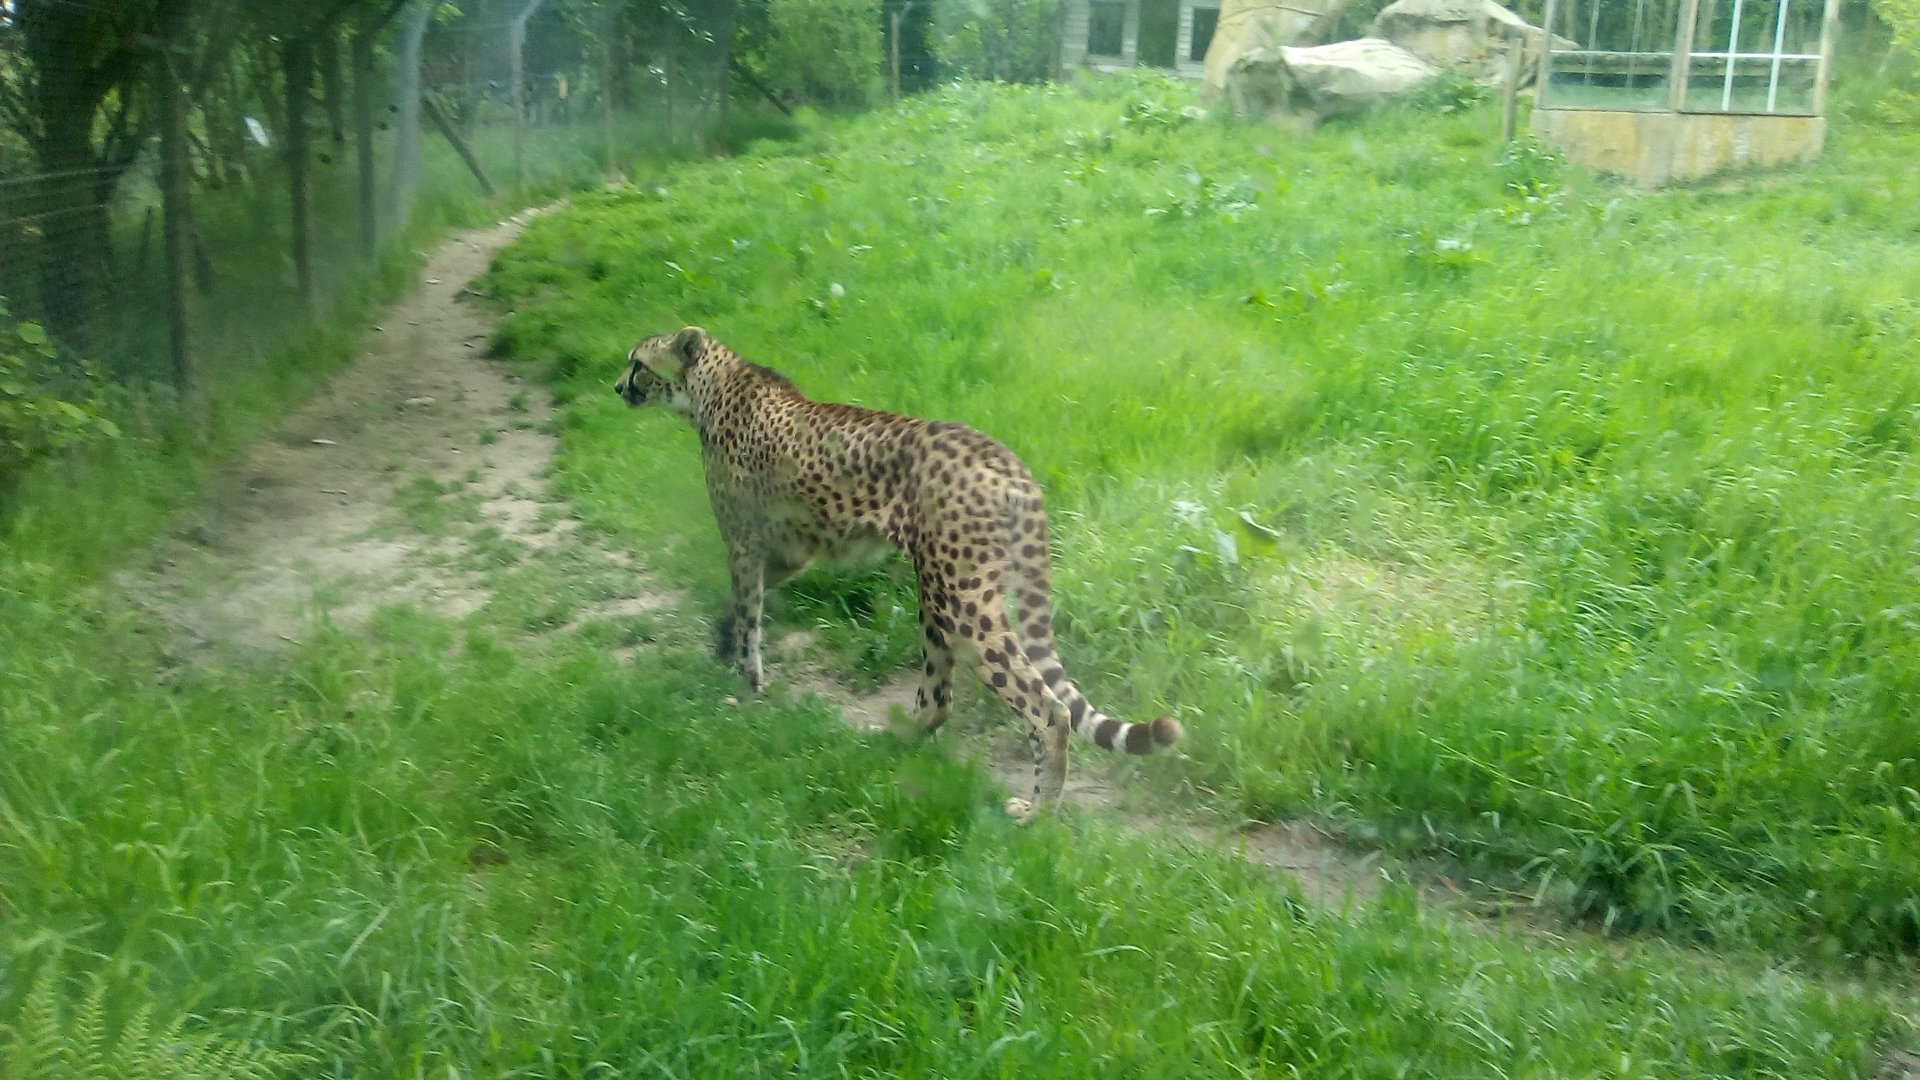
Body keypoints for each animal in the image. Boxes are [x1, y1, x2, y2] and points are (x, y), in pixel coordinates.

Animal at [614, 326, 1182, 819]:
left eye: (638, 364)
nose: (617, 386)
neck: (714, 385)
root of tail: (1004, 457)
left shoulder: (744, 541)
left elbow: (749, 610)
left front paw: (746, 683)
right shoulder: (790, 551)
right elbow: (740, 602)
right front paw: (723, 643)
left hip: (960, 596)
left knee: (1048, 710)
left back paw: (1039, 813)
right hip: (937, 588)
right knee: (938, 698)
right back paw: (896, 741)